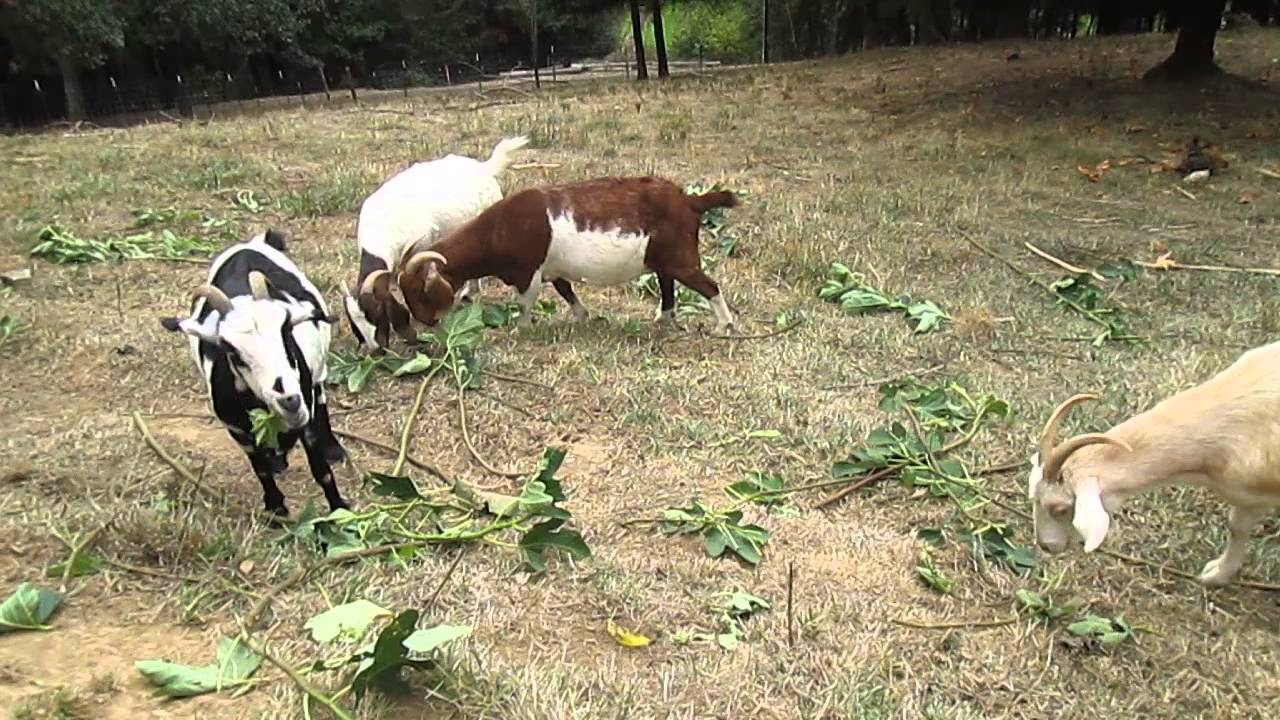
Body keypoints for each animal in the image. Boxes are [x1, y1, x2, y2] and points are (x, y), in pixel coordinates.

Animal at [159, 229, 350, 517]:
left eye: (286, 329)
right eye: (230, 349)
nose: (289, 400)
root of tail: (253, 243)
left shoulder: (305, 418)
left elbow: (321, 470)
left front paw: (340, 509)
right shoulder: (237, 430)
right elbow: (260, 469)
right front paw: (276, 509)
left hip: (318, 374)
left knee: (320, 393)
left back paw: (333, 449)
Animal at [342, 135, 530, 351]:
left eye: (378, 311)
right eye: (355, 324)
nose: (376, 351)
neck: (381, 230)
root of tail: (484, 167)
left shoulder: (421, 245)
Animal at [396, 176, 740, 335]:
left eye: (419, 292)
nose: (424, 324)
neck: (497, 230)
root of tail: (689, 201)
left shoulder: (528, 272)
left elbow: (525, 302)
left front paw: (522, 329)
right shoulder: (553, 269)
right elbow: (566, 291)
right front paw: (581, 316)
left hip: (681, 257)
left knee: (709, 286)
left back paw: (724, 326)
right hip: (662, 257)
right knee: (667, 283)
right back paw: (663, 318)